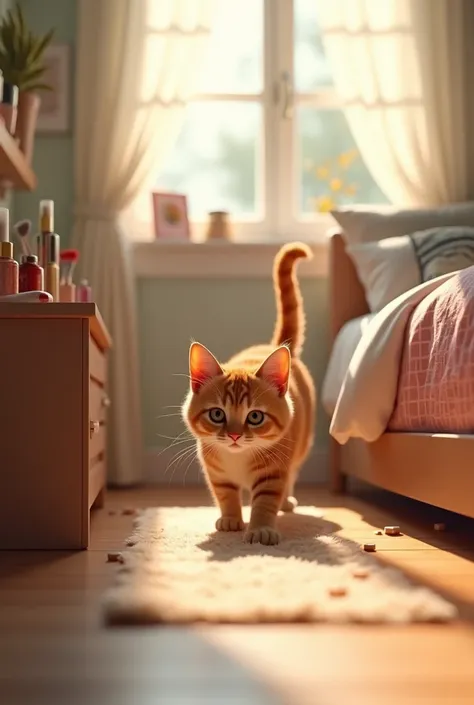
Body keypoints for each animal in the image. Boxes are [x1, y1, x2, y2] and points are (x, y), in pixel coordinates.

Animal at [183, 242, 316, 544]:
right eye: (217, 414)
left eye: (255, 417)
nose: (234, 435)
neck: (238, 459)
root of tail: (274, 345)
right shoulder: (215, 472)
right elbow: (226, 495)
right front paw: (232, 519)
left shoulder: (274, 471)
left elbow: (266, 500)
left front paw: (261, 528)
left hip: (301, 445)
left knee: (292, 474)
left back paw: (287, 501)